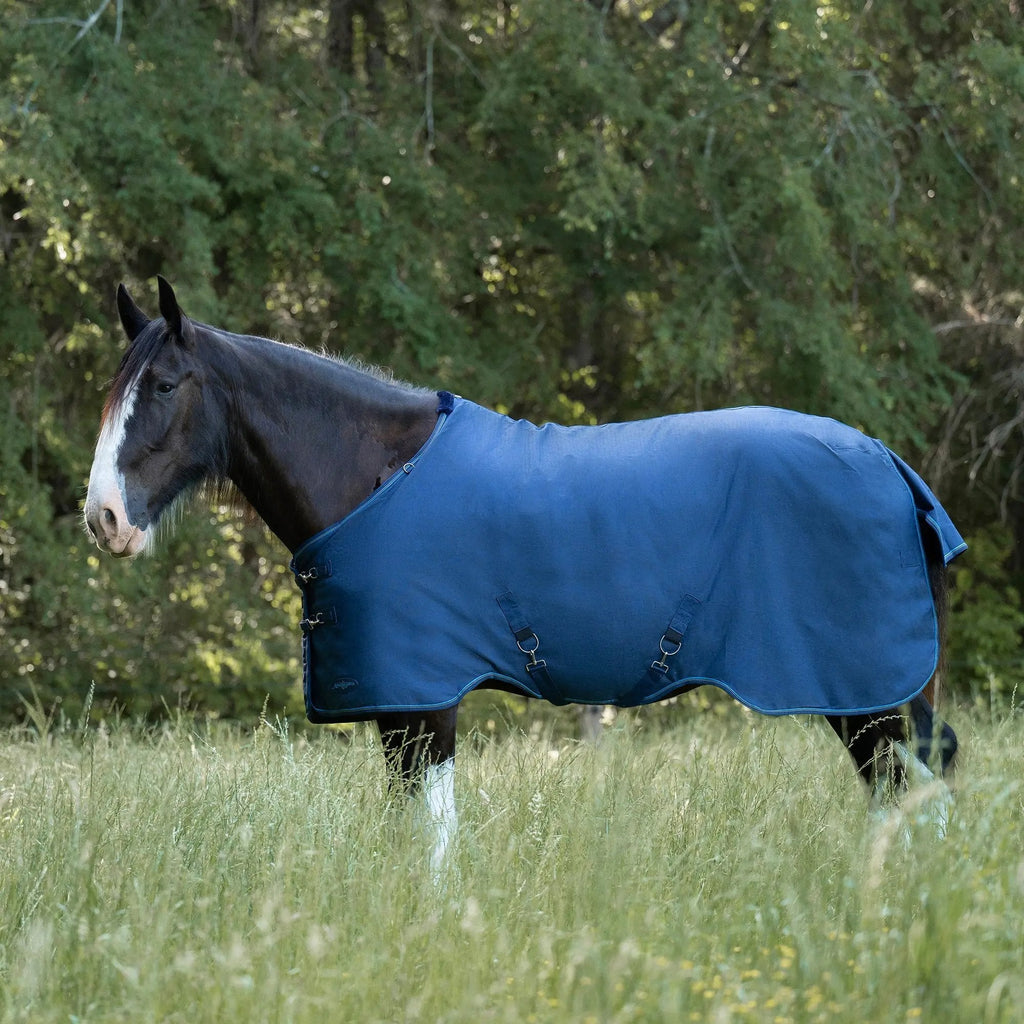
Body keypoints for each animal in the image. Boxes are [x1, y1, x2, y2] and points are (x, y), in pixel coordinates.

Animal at [84, 277, 963, 870]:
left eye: (164, 385)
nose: (104, 518)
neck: (376, 475)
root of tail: (889, 465)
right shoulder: (399, 702)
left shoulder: (424, 696)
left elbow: (433, 835)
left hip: (865, 693)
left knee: (914, 792)